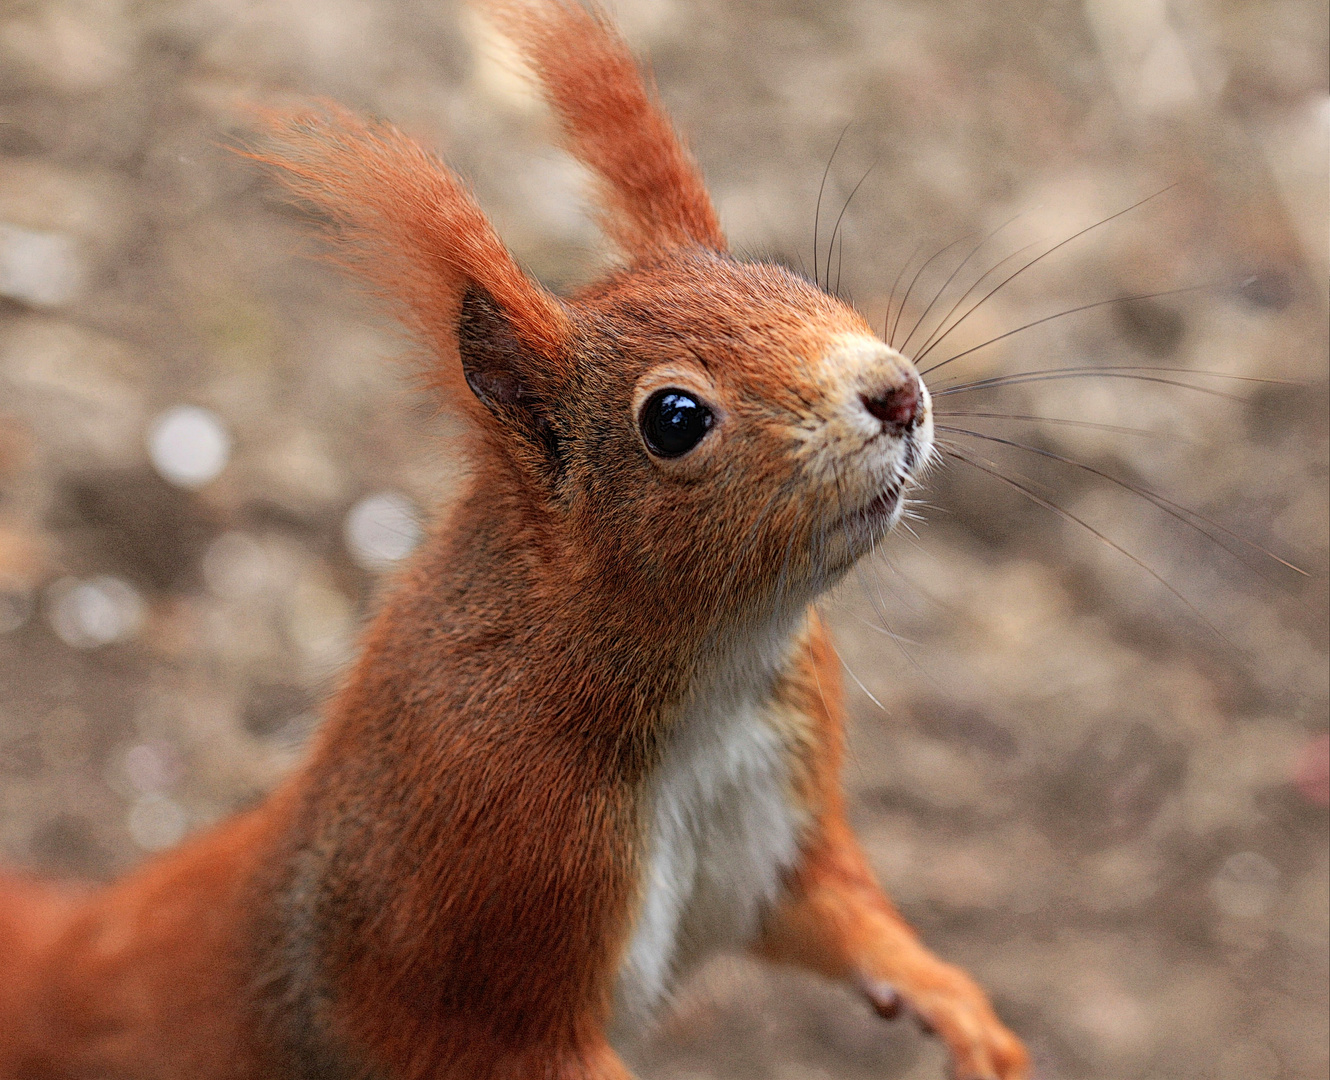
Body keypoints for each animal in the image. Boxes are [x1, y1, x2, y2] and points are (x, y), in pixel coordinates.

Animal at [0, 6, 1026, 1080]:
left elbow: (826, 906)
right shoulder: (487, 884)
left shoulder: (779, 796)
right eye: (673, 419)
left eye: (787, 275)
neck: (707, 679)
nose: (898, 393)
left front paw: (953, 1002)